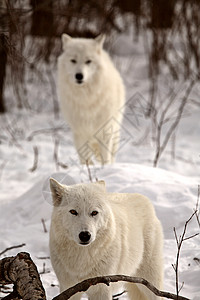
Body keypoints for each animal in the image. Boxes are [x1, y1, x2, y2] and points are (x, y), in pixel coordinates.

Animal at [56, 34, 125, 165]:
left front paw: (105, 168)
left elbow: (106, 159)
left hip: (114, 134)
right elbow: (85, 160)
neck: (86, 98)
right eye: (73, 60)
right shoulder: (79, 132)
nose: (79, 76)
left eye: (88, 61)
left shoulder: (105, 131)